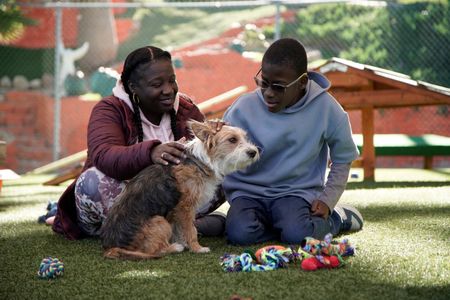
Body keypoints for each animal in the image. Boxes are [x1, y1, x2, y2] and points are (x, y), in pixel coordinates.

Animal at [100, 120, 258, 260]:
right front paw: (197, 248)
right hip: (159, 221)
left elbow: (180, 229)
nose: (254, 152)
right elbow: (191, 230)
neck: (200, 161)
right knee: (156, 251)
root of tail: (111, 248)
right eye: (232, 140)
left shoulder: (176, 212)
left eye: (245, 137)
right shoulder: (185, 207)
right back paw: (175, 247)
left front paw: (186, 243)